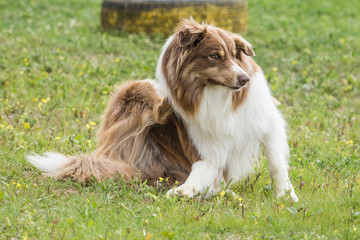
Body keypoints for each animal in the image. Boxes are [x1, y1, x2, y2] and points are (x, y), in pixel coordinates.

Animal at [27, 19, 298, 202]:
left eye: (234, 55)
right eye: (214, 56)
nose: (244, 80)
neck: (216, 95)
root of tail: (107, 152)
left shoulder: (268, 122)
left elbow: (276, 162)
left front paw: (286, 195)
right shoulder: (207, 150)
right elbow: (201, 171)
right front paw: (185, 190)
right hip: (138, 88)